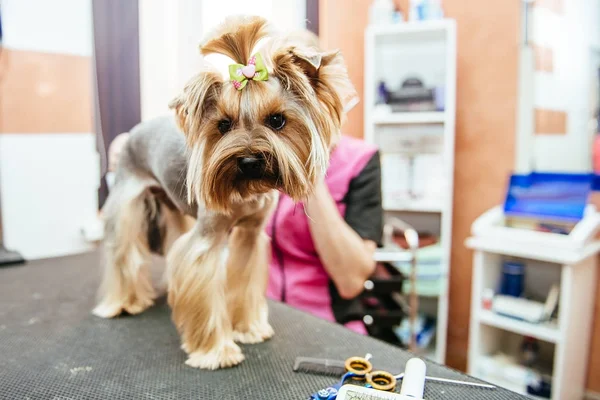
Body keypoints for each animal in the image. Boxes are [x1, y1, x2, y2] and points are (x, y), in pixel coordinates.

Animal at [94, 17, 356, 370]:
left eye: (277, 120)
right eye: (223, 125)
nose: (248, 160)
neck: (246, 188)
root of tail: (133, 132)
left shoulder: (250, 235)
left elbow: (243, 280)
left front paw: (248, 329)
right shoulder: (208, 238)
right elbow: (205, 292)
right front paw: (216, 351)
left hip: (173, 206)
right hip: (126, 198)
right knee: (123, 251)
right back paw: (124, 303)